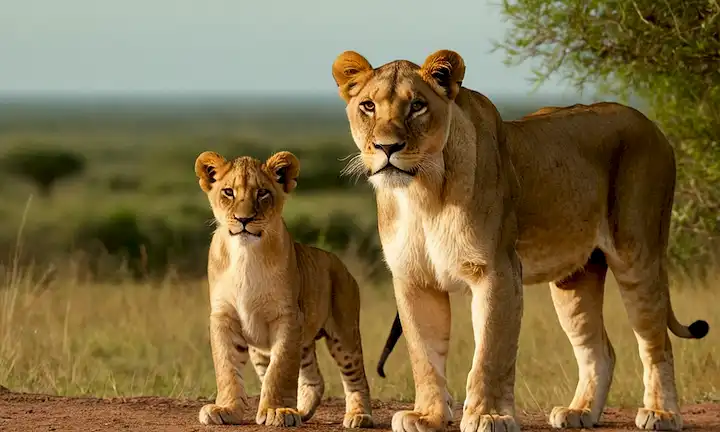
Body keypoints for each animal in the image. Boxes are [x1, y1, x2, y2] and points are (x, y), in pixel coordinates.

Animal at [194, 150, 374, 429]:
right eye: (228, 192)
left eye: (262, 193)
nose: (244, 219)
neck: (245, 254)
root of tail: (338, 262)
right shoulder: (223, 316)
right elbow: (227, 367)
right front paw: (226, 408)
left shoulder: (288, 316)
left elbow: (280, 370)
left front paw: (277, 410)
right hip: (277, 346)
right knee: (314, 378)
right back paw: (302, 410)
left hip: (344, 334)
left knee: (356, 377)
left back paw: (359, 415)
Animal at [331, 50, 709, 432]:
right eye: (367, 106)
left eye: (417, 106)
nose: (387, 147)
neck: (422, 192)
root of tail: (651, 125)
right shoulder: (414, 279)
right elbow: (423, 354)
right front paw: (428, 416)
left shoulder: (497, 270)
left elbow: (490, 352)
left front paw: (488, 415)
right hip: (576, 278)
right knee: (600, 350)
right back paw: (580, 411)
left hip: (638, 255)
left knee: (656, 343)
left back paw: (661, 413)